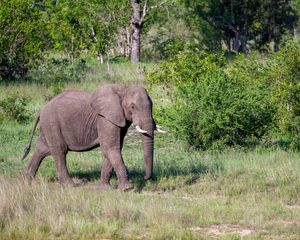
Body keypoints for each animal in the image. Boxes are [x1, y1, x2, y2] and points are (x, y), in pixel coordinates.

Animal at [22, 84, 165, 191]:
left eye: (152, 106)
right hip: (52, 123)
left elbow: (113, 148)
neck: (123, 89)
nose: (145, 178)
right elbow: (110, 148)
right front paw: (127, 189)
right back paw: (70, 185)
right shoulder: (105, 118)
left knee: (42, 149)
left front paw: (105, 188)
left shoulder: (118, 119)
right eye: (132, 107)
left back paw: (27, 180)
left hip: (49, 126)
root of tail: (41, 110)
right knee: (59, 151)